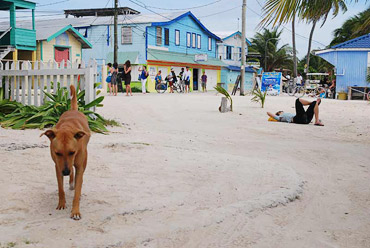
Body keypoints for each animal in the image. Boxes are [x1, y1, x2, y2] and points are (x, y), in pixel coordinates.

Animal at [41, 85, 90, 221]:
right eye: (57, 153)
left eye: (72, 152)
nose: (66, 172)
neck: (67, 128)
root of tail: (73, 109)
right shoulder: (58, 166)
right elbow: (60, 188)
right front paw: (61, 204)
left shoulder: (78, 165)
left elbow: (78, 190)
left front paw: (75, 211)